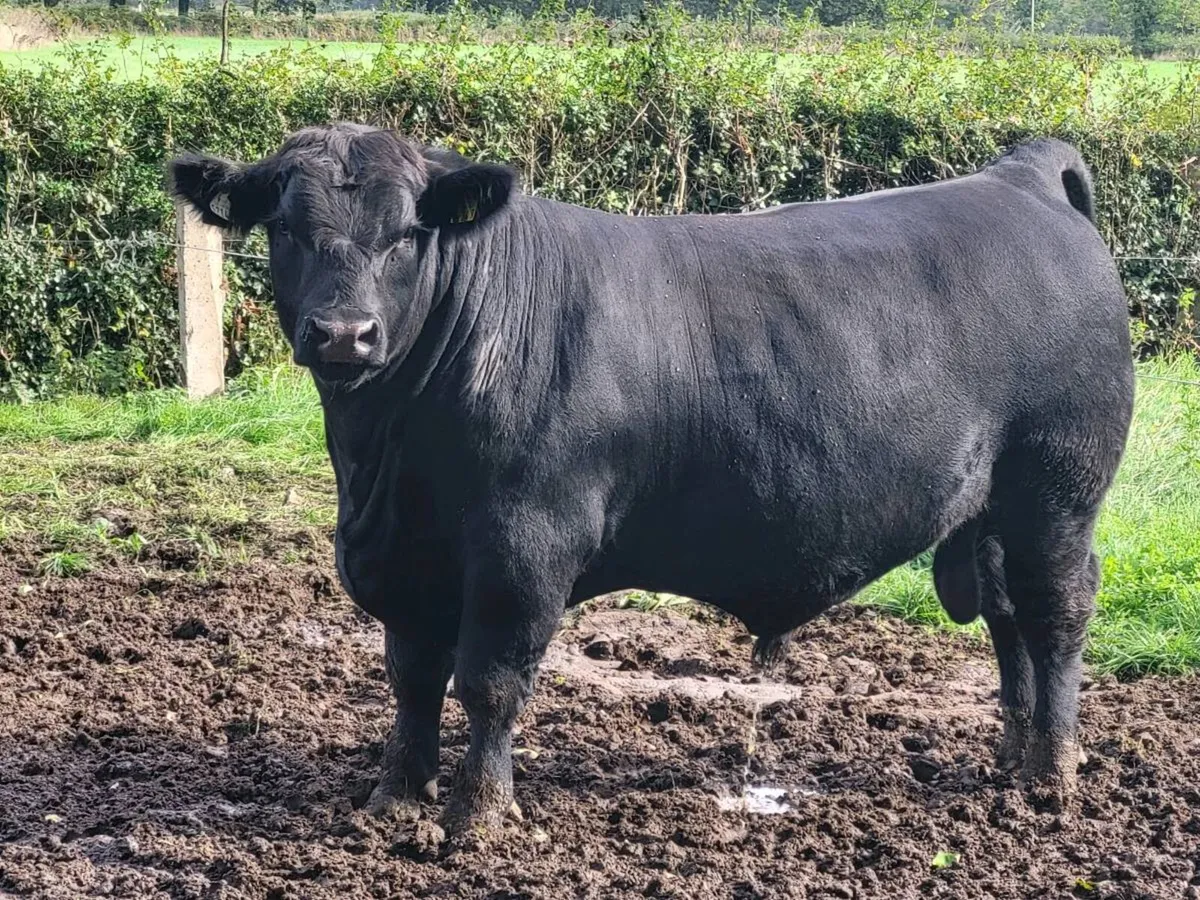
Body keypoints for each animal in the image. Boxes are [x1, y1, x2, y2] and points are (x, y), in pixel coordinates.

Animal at [170, 125, 1134, 834]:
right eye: (285, 228)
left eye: (409, 232)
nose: (345, 334)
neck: (385, 459)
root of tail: (1017, 178)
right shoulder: (409, 555)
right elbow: (411, 675)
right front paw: (395, 797)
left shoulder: (525, 549)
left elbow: (488, 682)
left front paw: (477, 818)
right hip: (994, 511)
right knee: (1008, 619)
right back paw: (1011, 757)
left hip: (1059, 489)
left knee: (1055, 614)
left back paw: (1051, 774)